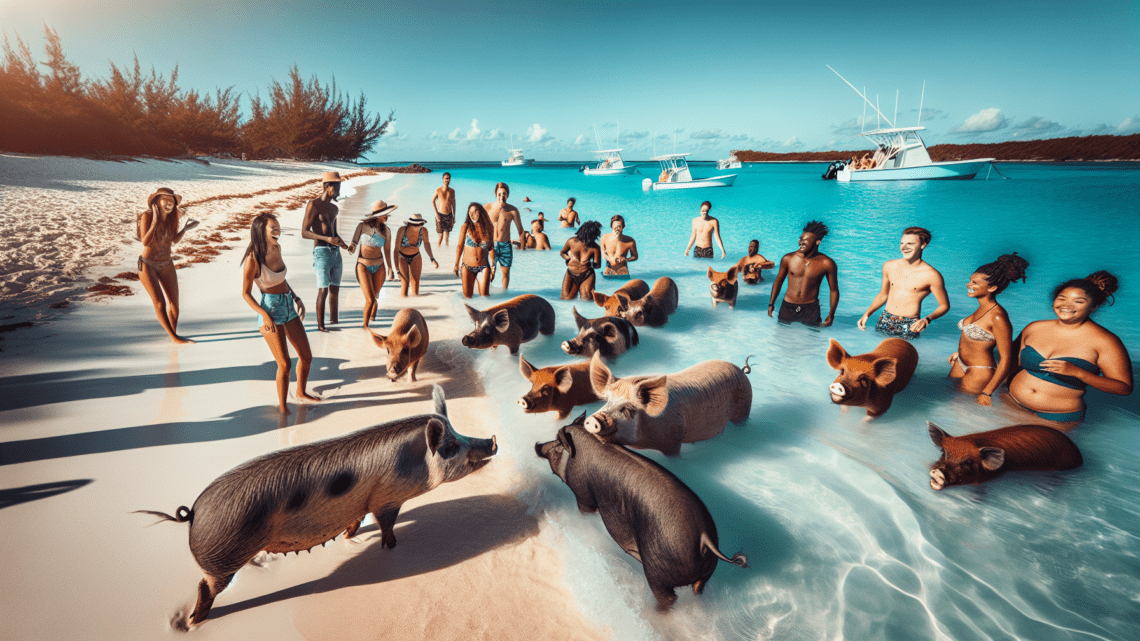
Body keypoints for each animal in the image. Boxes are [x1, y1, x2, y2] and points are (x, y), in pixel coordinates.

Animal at [136, 385, 496, 628]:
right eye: (451, 447)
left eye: (459, 436)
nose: (491, 440)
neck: (412, 462)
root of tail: (193, 513)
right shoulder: (388, 498)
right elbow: (387, 524)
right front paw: (393, 546)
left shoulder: (364, 502)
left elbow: (357, 520)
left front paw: (351, 537)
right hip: (223, 556)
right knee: (204, 586)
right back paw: (194, 623)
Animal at [535, 414, 748, 611]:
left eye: (557, 441)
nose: (537, 444)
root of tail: (704, 537)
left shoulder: (583, 497)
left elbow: (586, 509)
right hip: (705, 575)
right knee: (698, 589)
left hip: (657, 572)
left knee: (667, 597)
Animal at [584, 353, 753, 456]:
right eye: (608, 401)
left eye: (627, 408)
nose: (593, 419)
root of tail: (741, 370)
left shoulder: (674, 440)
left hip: (744, 408)